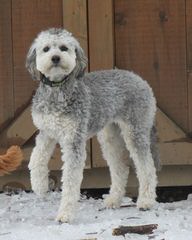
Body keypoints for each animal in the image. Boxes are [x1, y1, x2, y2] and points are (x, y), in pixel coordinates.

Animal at [25, 28, 160, 223]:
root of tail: (140, 79)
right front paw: (39, 186)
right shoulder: (46, 132)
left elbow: (71, 180)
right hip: (109, 136)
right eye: (46, 49)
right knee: (121, 168)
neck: (57, 91)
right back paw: (113, 200)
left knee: (147, 167)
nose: (56, 58)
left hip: (135, 130)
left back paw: (146, 201)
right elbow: (36, 159)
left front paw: (65, 214)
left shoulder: (73, 140)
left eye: (64, 48)